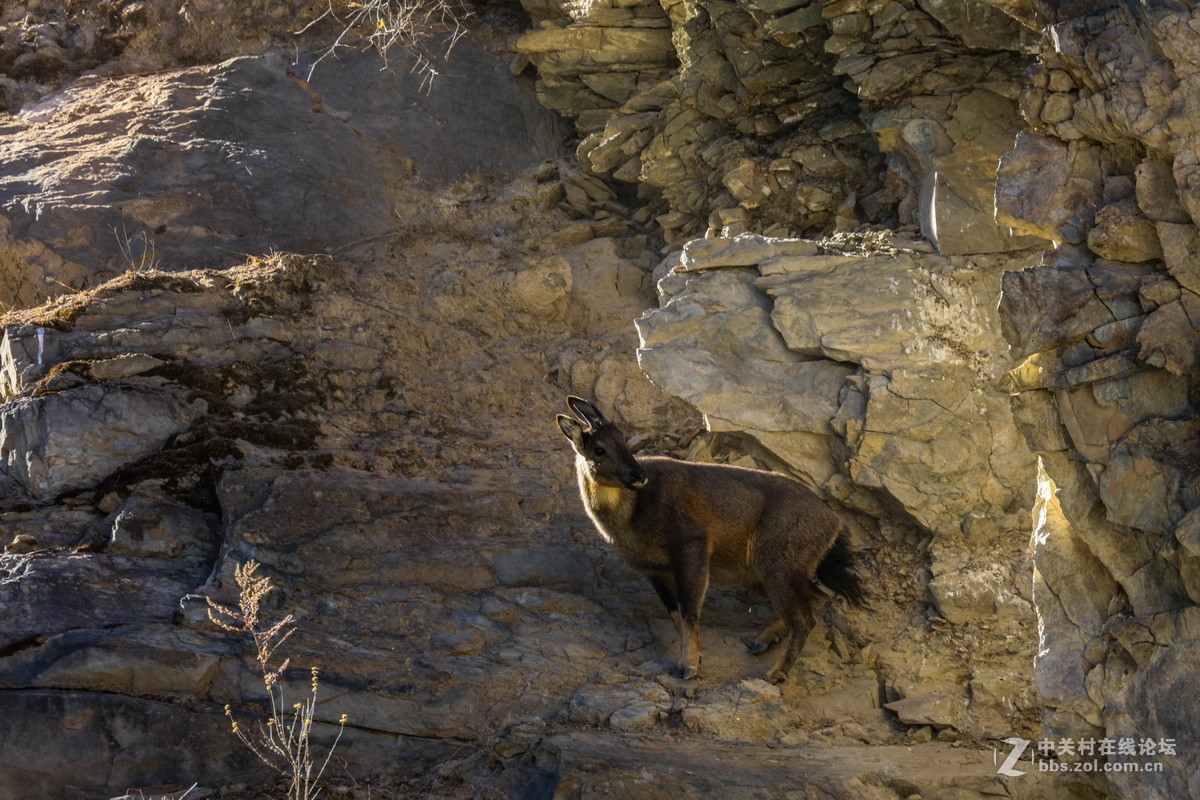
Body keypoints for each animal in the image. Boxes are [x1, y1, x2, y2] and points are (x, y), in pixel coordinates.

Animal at [556, 398, 859, 686]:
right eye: (599, 449)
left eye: (623, 438)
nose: (638, 475)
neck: (634, 510)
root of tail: (833, 523)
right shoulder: (654, 570)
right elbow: (675, 614)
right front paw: (691, 658)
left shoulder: (692, 547)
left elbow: (689, 608)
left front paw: (689, 666)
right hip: (764, 574)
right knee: (819, 598)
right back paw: (763, 641)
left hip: (776, 566)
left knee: (804, 619)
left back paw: (776, 673)